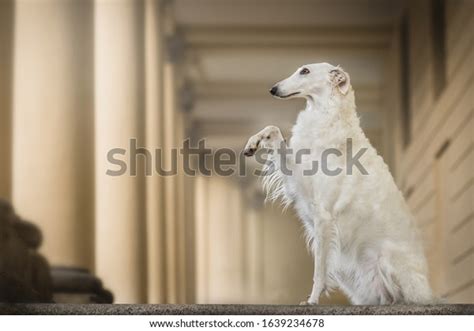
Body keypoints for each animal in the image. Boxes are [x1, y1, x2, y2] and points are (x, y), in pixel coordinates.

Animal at [244, 63, 434, 306]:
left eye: (305, 71)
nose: (273, 89)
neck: (328, 116)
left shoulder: (324, 216)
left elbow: (319, 271)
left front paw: (312, 300)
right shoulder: (300, 184)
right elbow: (274, 130)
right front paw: (253, 143)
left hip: (387, 261)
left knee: (405, 298)